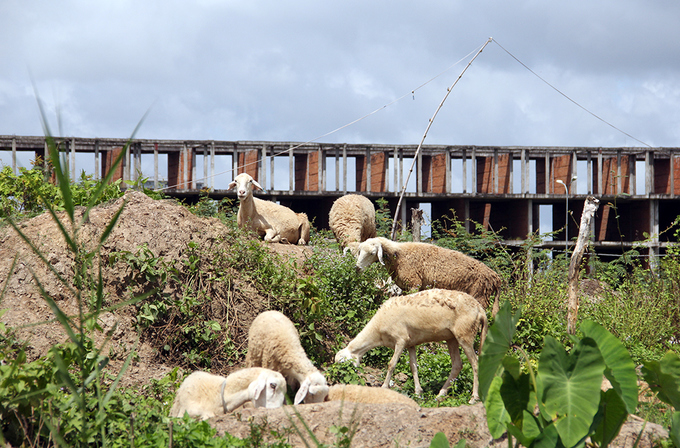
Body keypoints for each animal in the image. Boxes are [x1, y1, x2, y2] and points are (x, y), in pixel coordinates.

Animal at [336, 288, 488, 404]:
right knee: (457, 365)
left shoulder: (401, 339)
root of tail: (480, 309)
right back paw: (440, 394)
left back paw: (474, 398)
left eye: (343, 362)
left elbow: (391, 364)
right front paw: (418, 393)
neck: (377, 332)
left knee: (475, 364)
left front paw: (384, 387)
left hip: (465, 334)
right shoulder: (411, 343)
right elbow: (413, 367)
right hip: (451, 337)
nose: (343, 380)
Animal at [354, 238, 502, 316]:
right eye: (360, 251)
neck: (398, 256)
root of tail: (496, 278)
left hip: (480, 294)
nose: (357, 268)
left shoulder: (414, 284)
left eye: (372, 253)